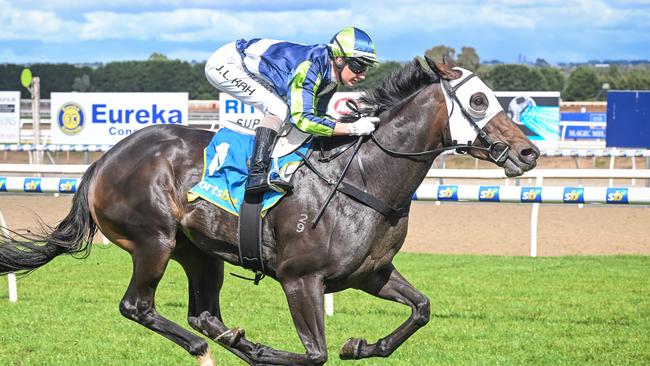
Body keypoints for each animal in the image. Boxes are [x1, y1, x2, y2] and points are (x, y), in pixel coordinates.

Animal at [0, 58, 536, 364]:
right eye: (479, 100)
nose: (528, 153)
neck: (366, 177)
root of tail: (105, 159)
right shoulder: (301, 278)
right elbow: (315, 354)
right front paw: (269, 348)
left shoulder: (371, 273)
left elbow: (421, 309)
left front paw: (363, 346)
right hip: (155, 240)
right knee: (140, 307)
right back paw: (209, 350)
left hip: (201, 253)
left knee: (204, 315)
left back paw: (229, 340)